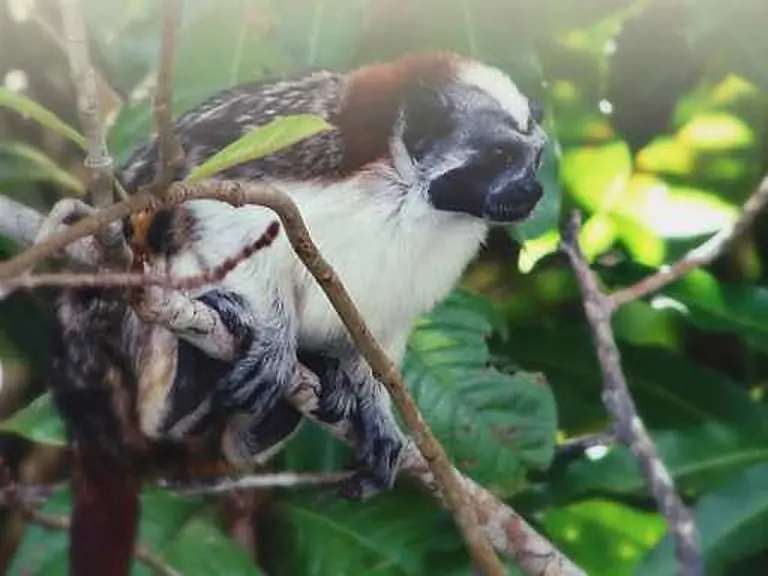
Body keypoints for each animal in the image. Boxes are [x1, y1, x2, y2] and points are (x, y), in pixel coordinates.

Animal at [51, 51, 548, 504]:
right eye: (501, 155)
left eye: (536, 159)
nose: (534, 190)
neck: (404, 193)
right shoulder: (302, 162)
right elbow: (215, 209)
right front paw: (275, 335)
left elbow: (383, 329)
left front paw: (374, 403)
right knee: (158, 240)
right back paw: (186, 383)